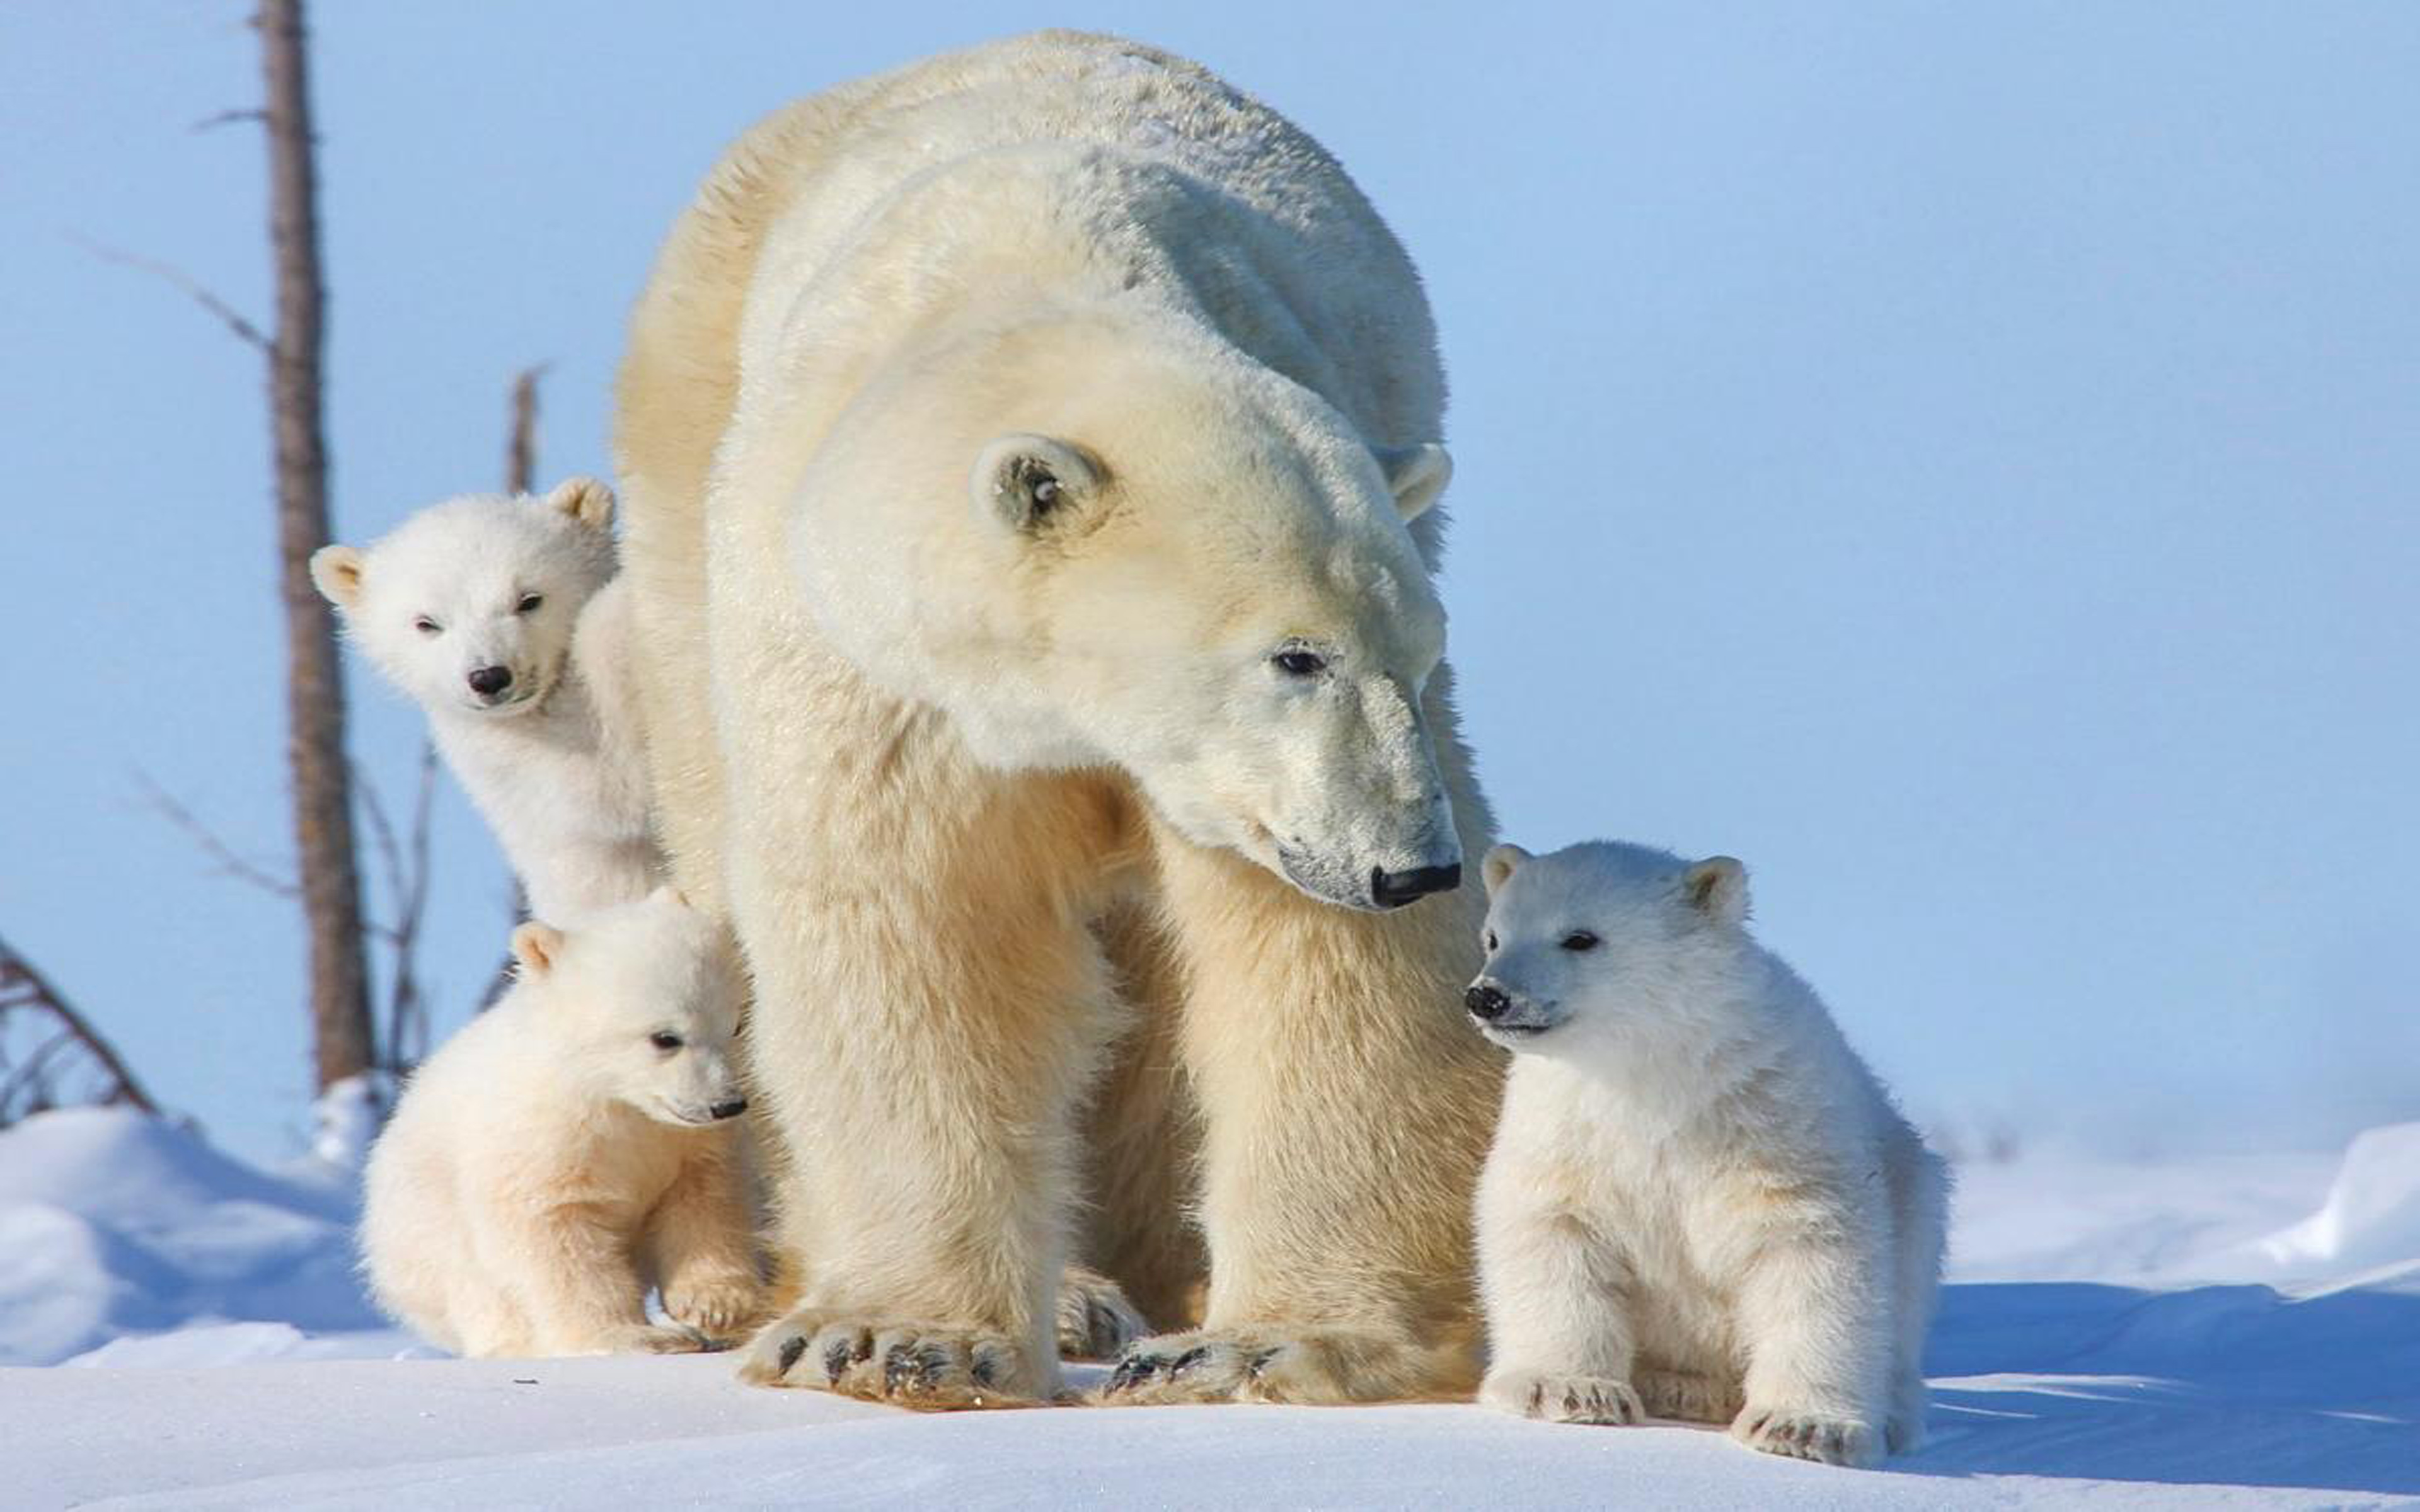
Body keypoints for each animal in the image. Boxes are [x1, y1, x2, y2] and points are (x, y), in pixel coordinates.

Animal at [358, 886, 765, 1356]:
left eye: (735, 1026)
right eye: (666, 1038)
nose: (727, 1105)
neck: (609, 1098)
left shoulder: (683, 1142)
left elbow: (702, 1200)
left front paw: (716, 1305)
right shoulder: (542, 1141)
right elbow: (557, 1234)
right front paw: (634, 1337)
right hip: (432, 1233)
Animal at [611, 30, 1504, 1407]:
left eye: (1420, 661)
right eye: (1295, 654)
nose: (1412, 866)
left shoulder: (1255, 794)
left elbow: (1322, 971)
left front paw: (1267, 1342)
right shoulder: (877, 674)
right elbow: (914, 925)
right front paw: (890, 1340)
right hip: (679, 515)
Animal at [1465, 841, 1950, 1467]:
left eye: (1581, 937)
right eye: (1494, 936)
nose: (1488, 996)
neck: (1654, 1074)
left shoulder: (1774, 1117)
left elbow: (1812, 1249)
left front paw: (1802, 1427)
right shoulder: (1569, 1127)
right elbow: (1552, 1228)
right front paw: (1568, 1388)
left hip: (1915, 1188)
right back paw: (1678, 1385)